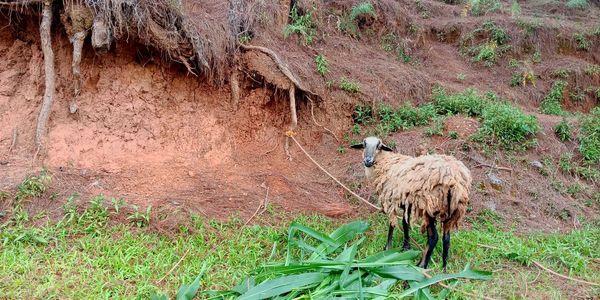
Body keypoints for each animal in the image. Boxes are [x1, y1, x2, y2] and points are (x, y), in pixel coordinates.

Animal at [352, 137, 474, 270]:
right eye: (364, 145)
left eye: (379, 146)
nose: (367, 161)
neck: (385, 162)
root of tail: (455, 179)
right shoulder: (407, 204)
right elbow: (405, 223)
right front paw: (406, 247)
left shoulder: (392, 201)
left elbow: (392, 224)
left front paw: (387, 249)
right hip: (451, 210)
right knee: (446, 237)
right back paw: (444, 267)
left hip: (430, 207)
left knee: (434, 237)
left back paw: (421, 265)